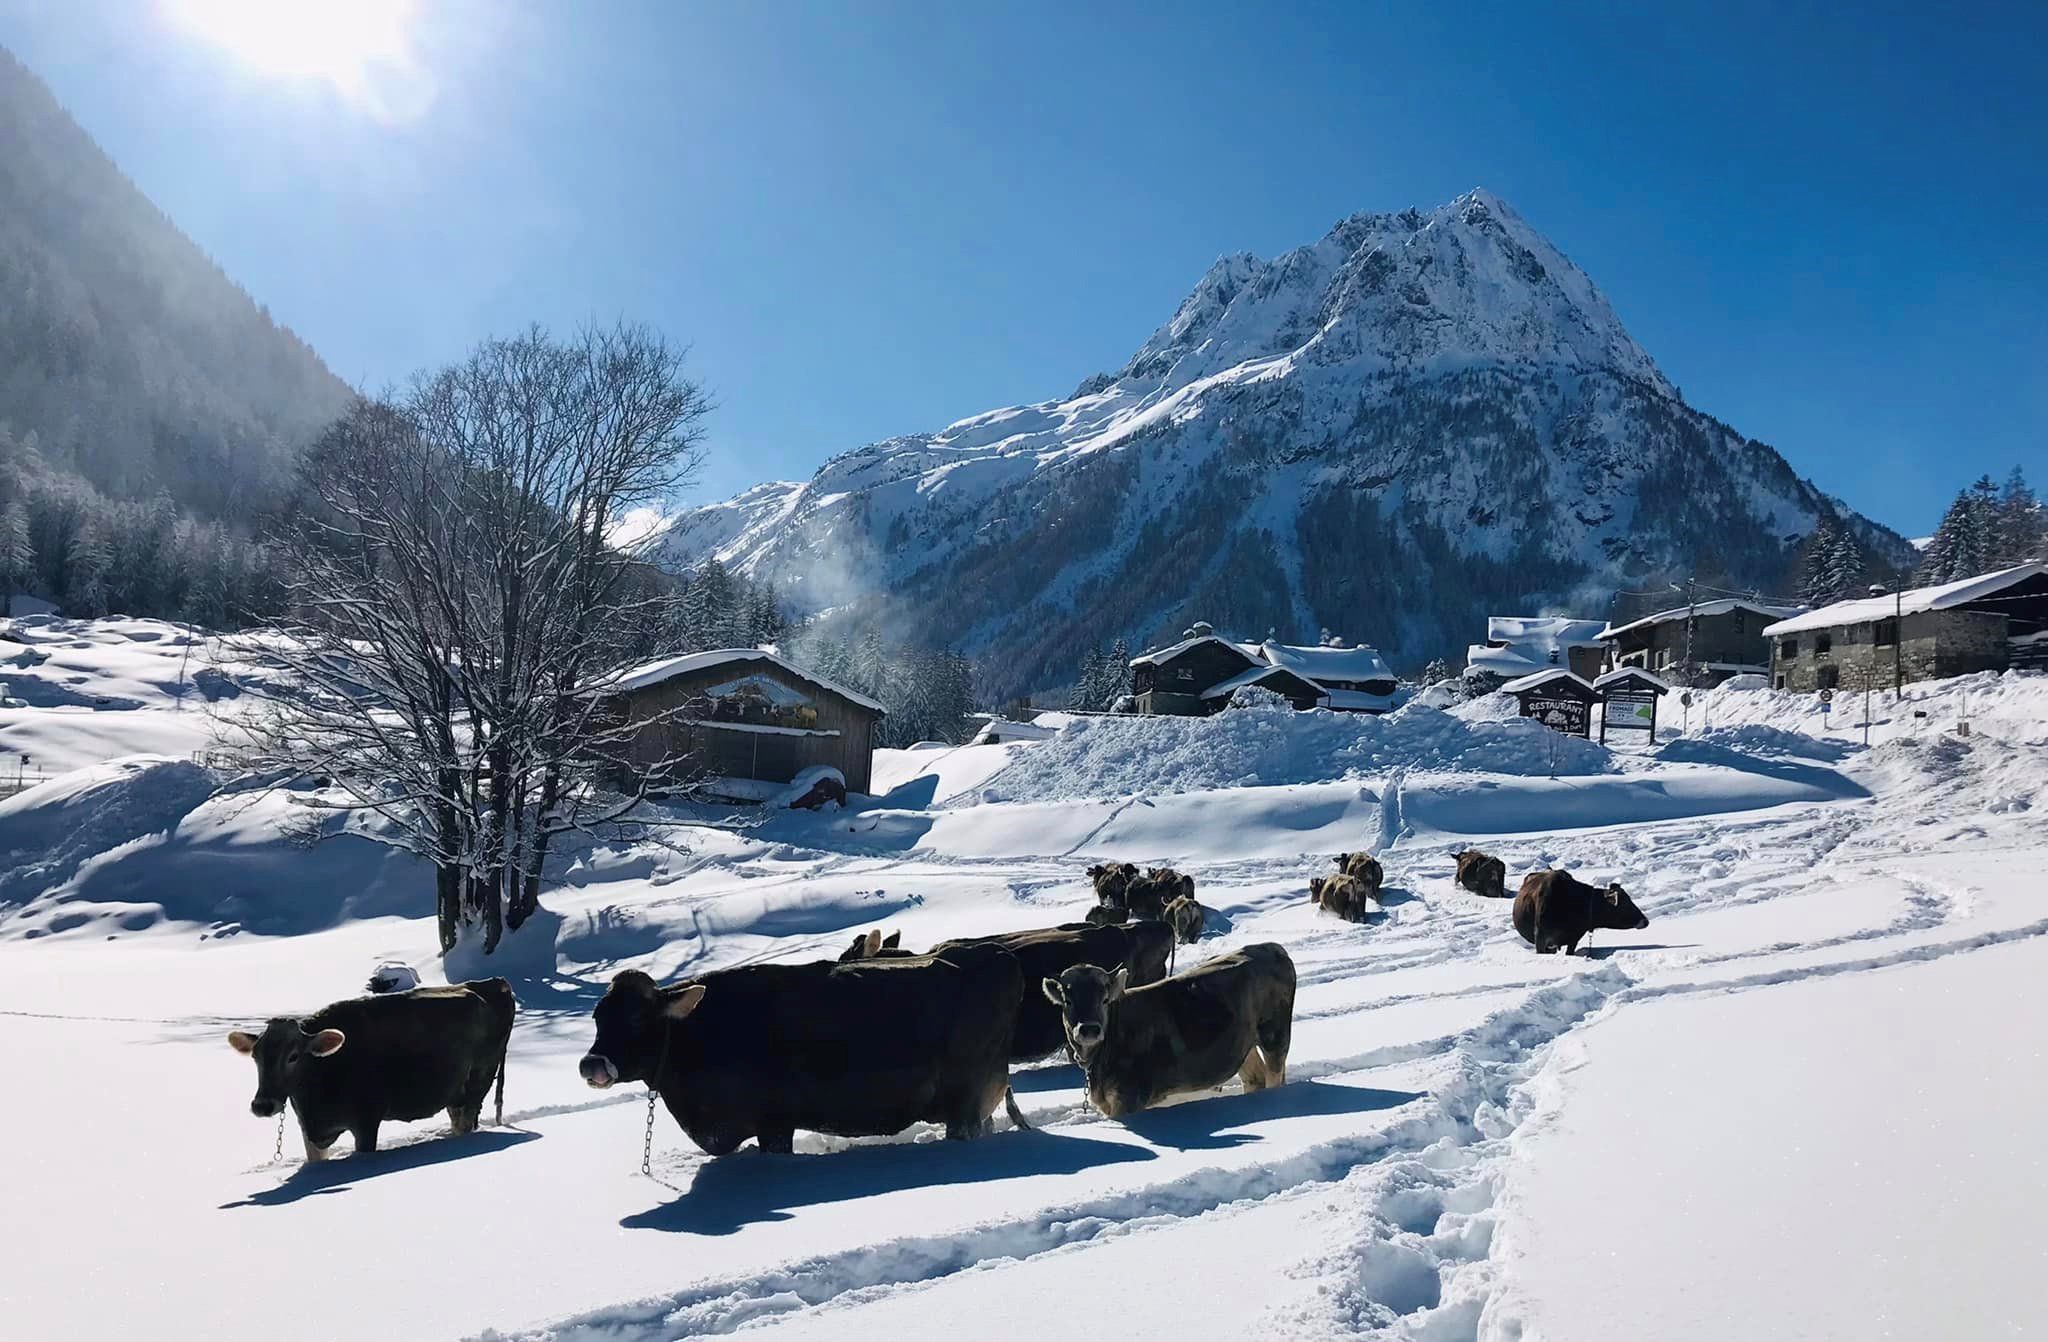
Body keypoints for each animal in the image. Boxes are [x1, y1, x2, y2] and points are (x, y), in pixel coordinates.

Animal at [227, 975, 516, 1163]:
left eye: (294, 1056)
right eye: (256, 1056)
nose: (263, 1105)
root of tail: (494, 983)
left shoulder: (366, 1121)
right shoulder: (310, 1131)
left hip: (479, 1079)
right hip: (454, 1094)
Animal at [577, 946, 1024, 1155]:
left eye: (638, 1017)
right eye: (598, 1017)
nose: (590, 1064)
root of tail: (996, 953)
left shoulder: (774, 1124)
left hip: (965, 1105)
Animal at [1040, 938, 1294, 1114]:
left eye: (1104, 999)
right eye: (1068, 1000)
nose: (1089, 1029)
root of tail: (1271, 947)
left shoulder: (1129, 1099)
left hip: (1275, 1036)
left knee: (1274, 1076)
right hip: (1244, 1046)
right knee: (1255, 1078)